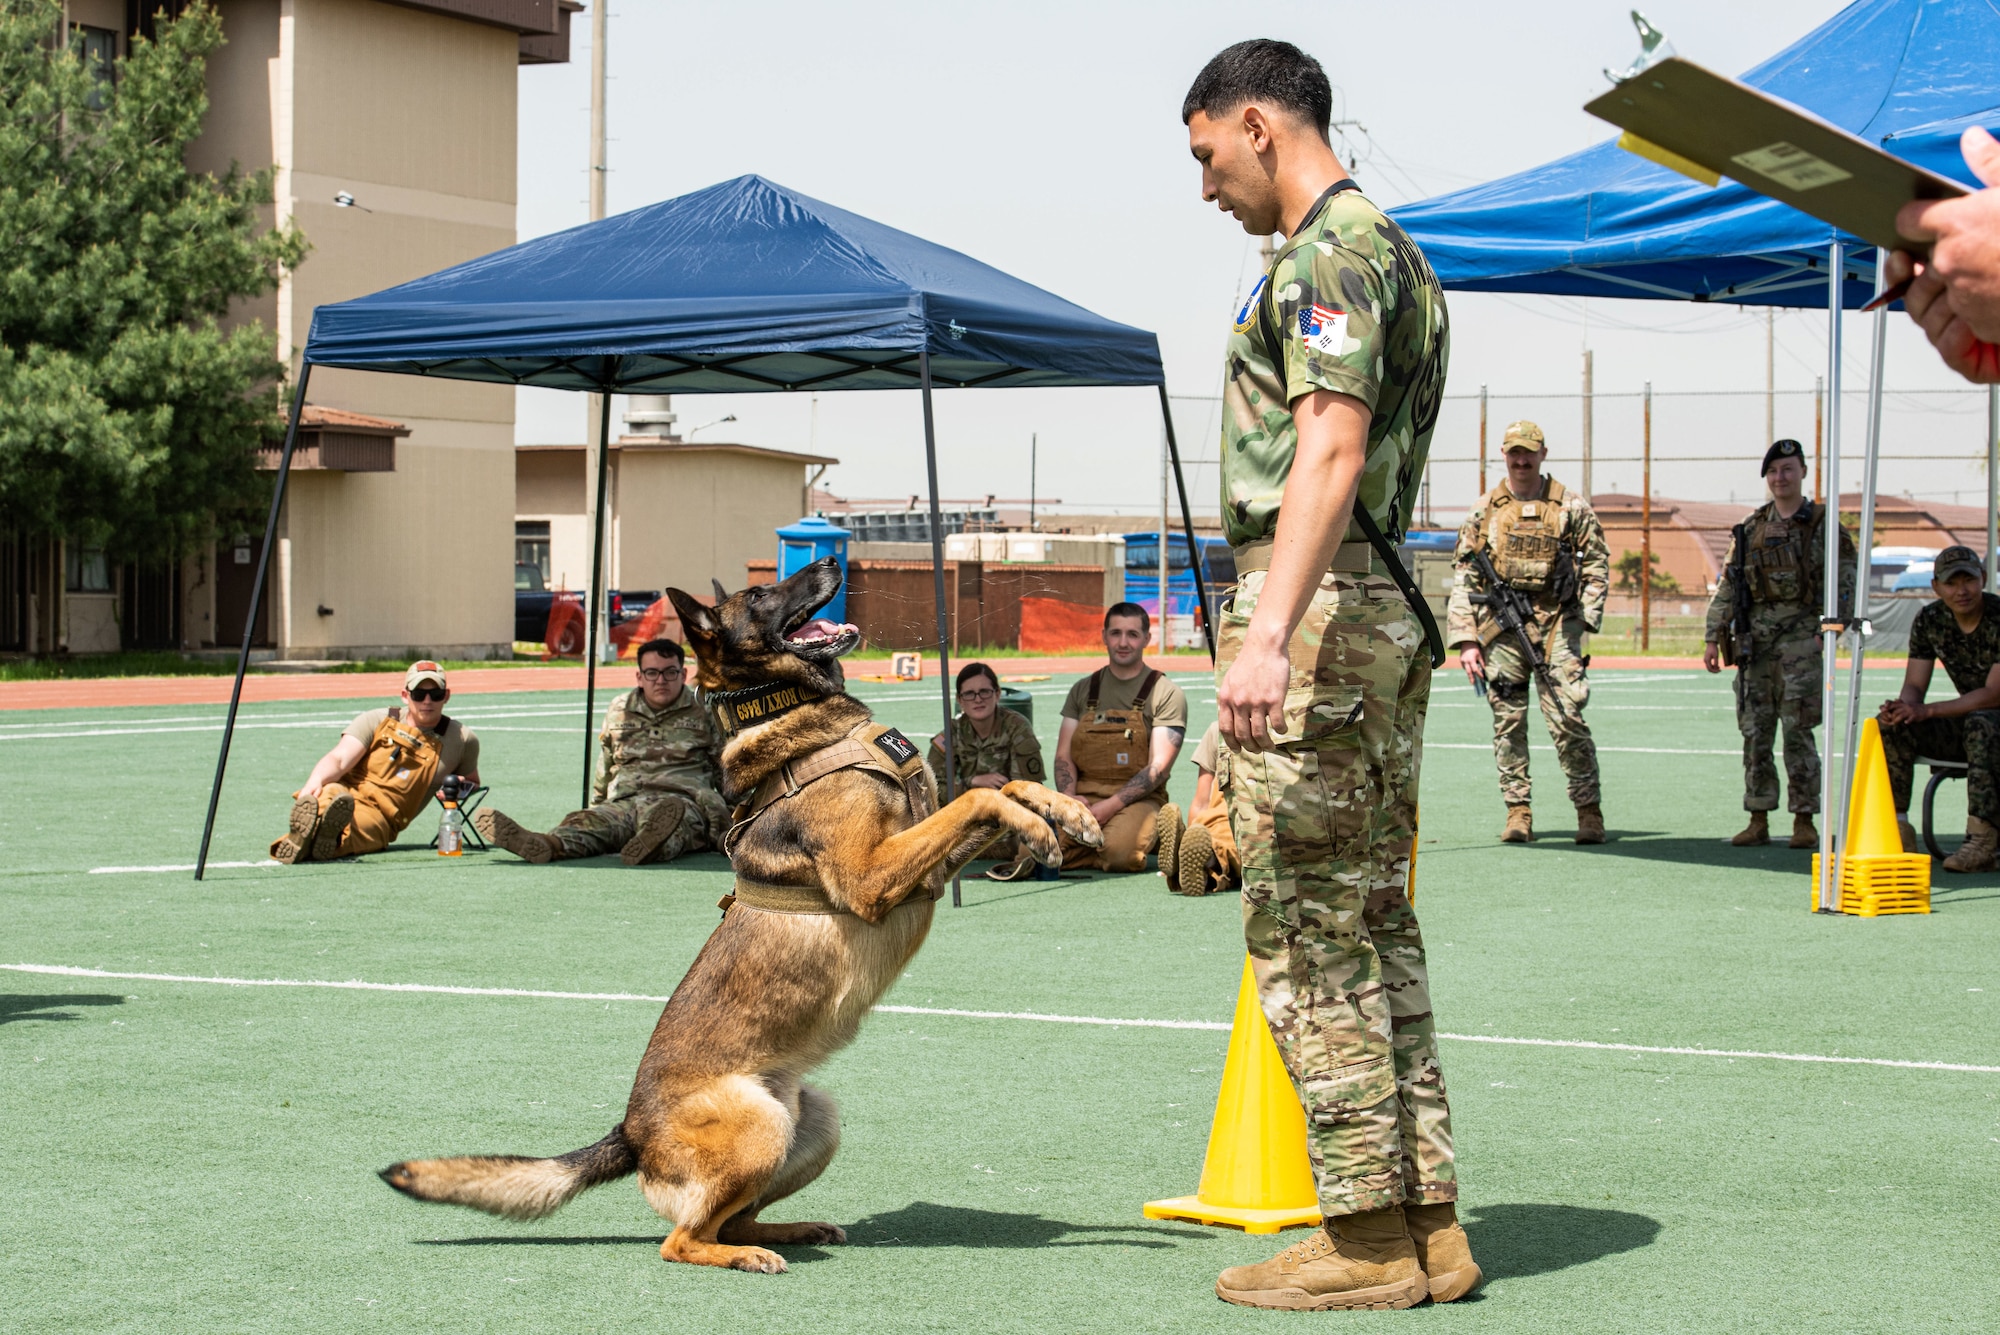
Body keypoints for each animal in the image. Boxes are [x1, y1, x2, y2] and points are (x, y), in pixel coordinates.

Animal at [382, 551, 1104, 1271]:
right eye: (760, 595)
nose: (831, 557)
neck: (788, 711)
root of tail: (631, 1132)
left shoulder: (920, 865)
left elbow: (1007, 784)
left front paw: (1071, 815)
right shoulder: (871, 875)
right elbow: (979, 799)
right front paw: (1037, 830)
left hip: (815, 1119)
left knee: (737, 1218)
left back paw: (793, 1230)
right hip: (761, 1126)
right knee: (682, 1239)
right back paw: (743, 1256)